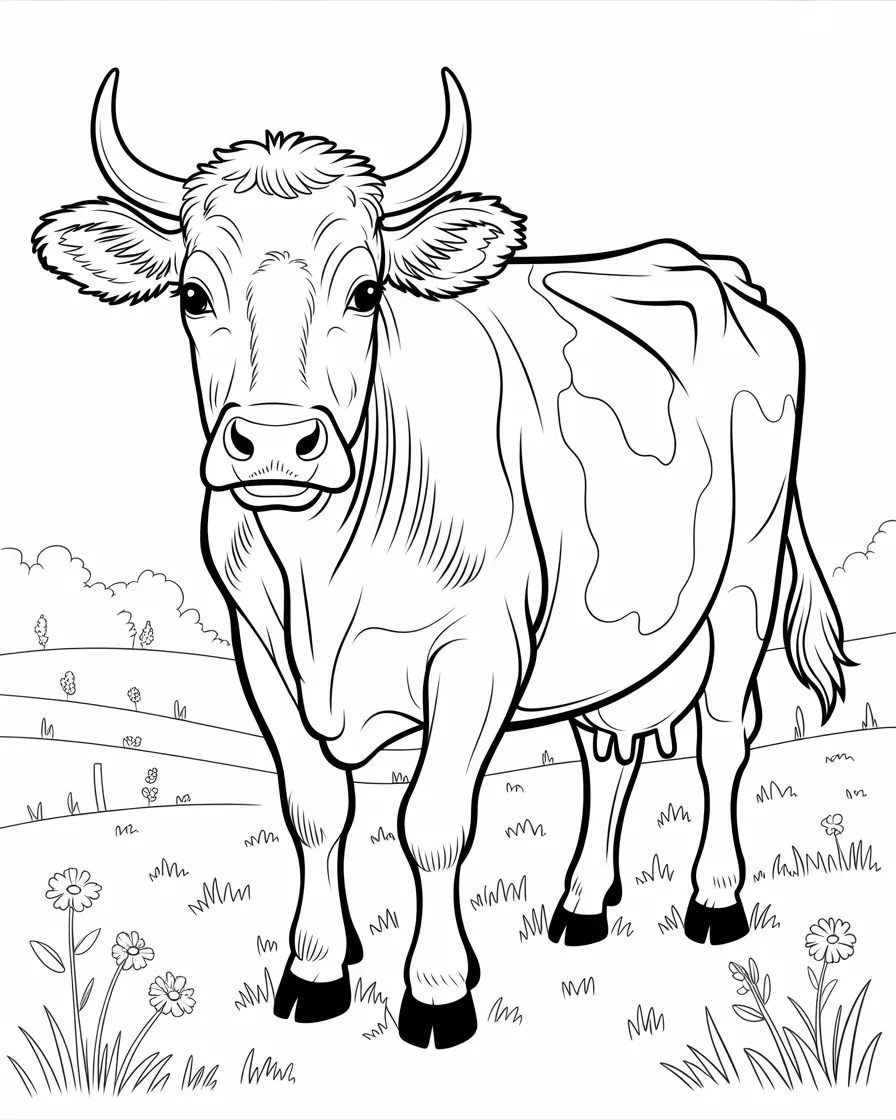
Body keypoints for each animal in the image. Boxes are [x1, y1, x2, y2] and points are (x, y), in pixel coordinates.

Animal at [33, 68, 851, 1050]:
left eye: (366, 290)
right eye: (193, 294)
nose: (276, 443)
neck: (322, 567)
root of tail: (705, 266)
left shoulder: (477, 657)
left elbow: (432, 824)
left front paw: (436, 992)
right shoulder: (261, 654)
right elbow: (316, 814)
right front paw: (318, 970)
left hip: (743, 580)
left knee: (726, 735)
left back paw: (715, 903)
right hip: (606, 621)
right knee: (608, 750)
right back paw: (583, 907)